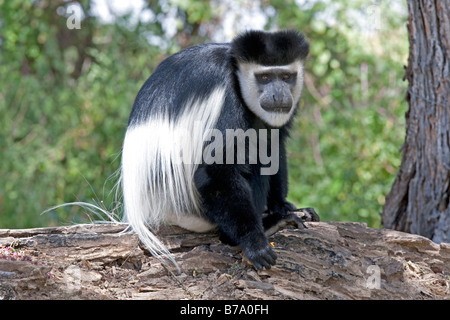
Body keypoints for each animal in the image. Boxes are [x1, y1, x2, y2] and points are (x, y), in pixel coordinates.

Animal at [120, 30, 316, 270]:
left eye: (286, 77)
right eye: (265, 78)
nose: (278, 95)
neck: (236, 72)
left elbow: (274, 143)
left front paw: (285, 207)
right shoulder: (227, 98)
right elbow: (214, 171)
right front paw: (256, 243)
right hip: (193, 208)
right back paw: (260, 227)